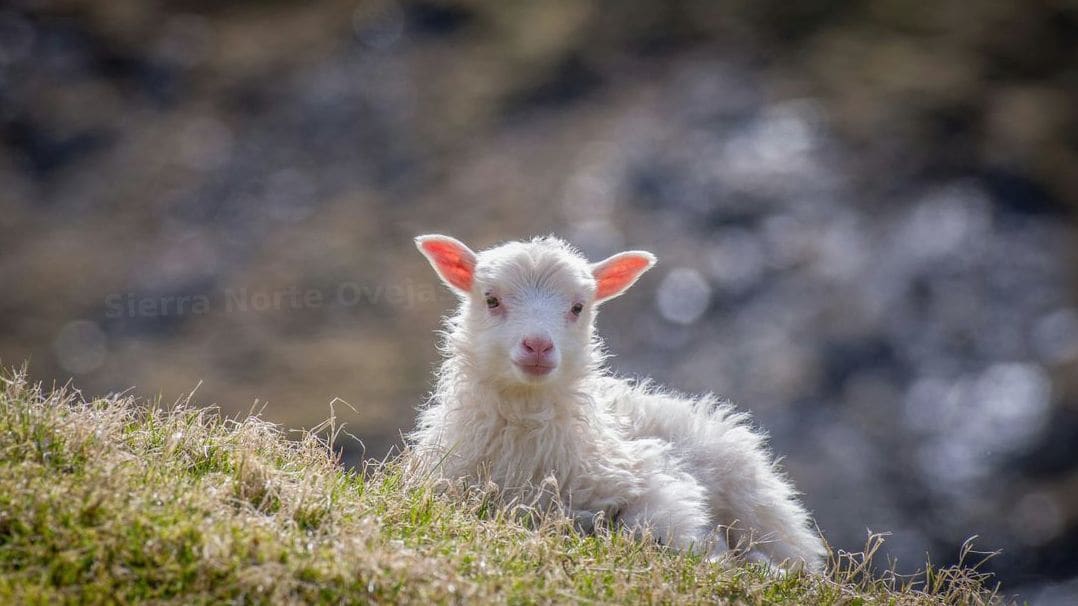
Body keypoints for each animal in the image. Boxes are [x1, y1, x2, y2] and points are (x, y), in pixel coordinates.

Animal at [409, 234, 827, 572]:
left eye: (578, 307)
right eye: (491, 299)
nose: (538, 346)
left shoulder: (655, 482)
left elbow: (653, 526)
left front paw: (712, 553)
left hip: (760, 507)